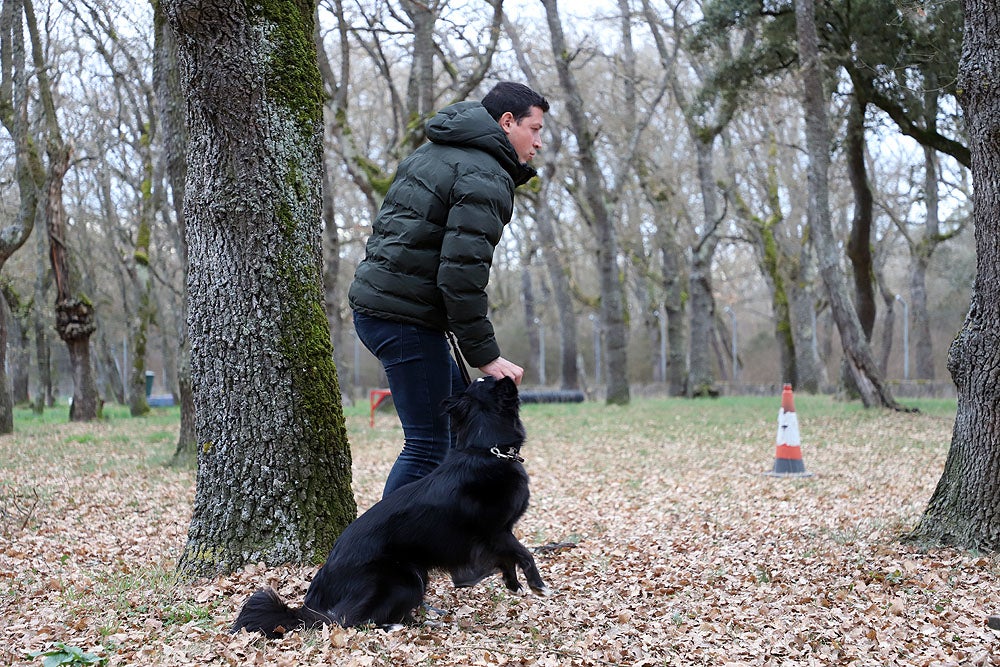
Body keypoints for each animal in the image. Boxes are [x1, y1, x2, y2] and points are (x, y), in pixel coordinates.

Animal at [231, 374, 552, 640]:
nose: (508, 373)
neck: (487, 450)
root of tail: (319, 588)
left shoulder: (497, 535)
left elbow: (508, 557)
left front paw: (512, 583)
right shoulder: (496, 531)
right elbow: (523, 552)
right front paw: (537, 584)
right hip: (403, 579)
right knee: (348, 620)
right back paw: (394, 625)